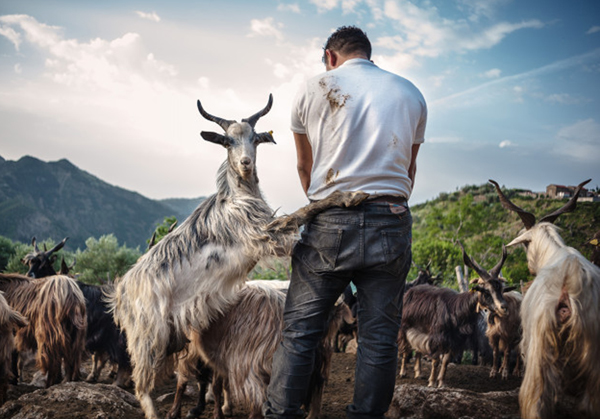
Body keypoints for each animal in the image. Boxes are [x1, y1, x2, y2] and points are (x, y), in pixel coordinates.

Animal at [109, 95, 368, 419]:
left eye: (254, 139)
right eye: (227, 141)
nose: (245, 163)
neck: (237, 196)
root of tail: (121, 292)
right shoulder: (264, 234)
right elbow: (302, 212)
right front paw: (349, 196)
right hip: (147, 336)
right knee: (142, 385)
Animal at [398, 244, 510, 388]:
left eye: (500, 288)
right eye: (486, 291)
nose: (504, 308)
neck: (455, 310)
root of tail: (408, 292)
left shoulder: (454, 339)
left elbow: (445, 361)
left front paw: (441, 383)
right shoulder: (437, 336)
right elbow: (436, 360)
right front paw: (431, 383)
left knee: (417, 349)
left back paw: (419, 373)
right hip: (405, 326)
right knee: (405, 348)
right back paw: (403, 372)